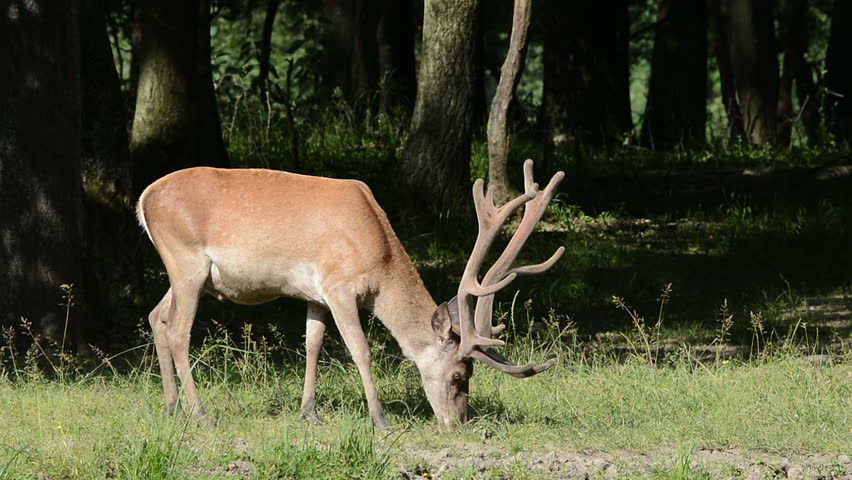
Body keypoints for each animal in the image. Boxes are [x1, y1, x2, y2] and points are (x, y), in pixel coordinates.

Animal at [138, 160, 564, 428]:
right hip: (186, 260)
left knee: (156, 316)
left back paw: (172, 408)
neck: (378, 251)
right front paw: (381, 419)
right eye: (459, 375)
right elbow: (360, 349)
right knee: (178, 330)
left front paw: (309, 413)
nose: (458, 423)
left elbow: (313, 343)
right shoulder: (340, 286)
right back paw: (200, 414)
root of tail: (144, 199)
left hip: (183, 272)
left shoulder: (315, 294)